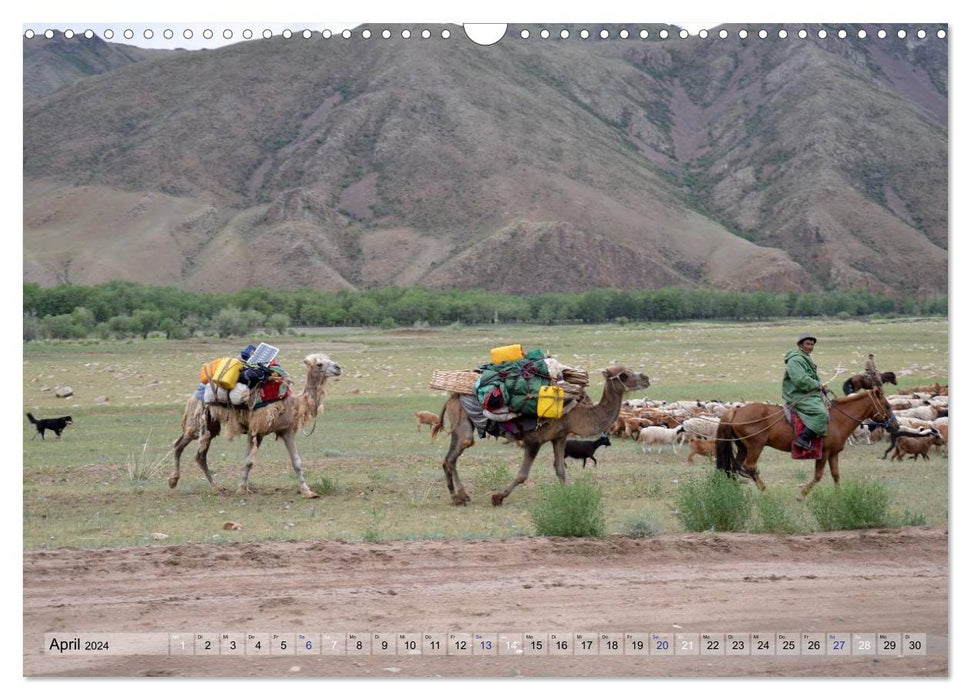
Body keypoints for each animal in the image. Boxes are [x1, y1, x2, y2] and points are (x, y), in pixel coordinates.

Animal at [170, 350, 342, 498]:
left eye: (329, 359)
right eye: (319, 364)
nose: (338, 368)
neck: (293, 403)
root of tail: (196, 393)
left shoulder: (286, 430)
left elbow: (296, 462)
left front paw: (308, 491)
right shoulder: (257, 430)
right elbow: (249, 461)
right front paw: (242, 489)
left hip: (211, 427)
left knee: (200, 455)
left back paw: (217, 486)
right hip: (197, 421)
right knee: (179, 446)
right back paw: (173, 481)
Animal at [440, 364, 652, 506]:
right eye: (623, 375)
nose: (646, 378)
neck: (573, 414)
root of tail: (453, 395)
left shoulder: (559, 437)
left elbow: (560, 470)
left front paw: (568, 496)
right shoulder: (535, 440)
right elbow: (522, 475)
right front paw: (498, 497)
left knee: (449, 458)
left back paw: (460, 496)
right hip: (462, 418)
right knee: (455, 454)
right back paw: (457, 497)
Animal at [716, 388, 900, 498]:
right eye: (887, 406)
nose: (896, 426)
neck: (837, 419)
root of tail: (735, 411)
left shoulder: (833, 453)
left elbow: (836, 475)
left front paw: (839, 496)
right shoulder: (823, 453)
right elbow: (818, 476)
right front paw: (801, 495)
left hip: (742, 447)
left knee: (733, 467)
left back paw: (733, 491)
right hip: (755, 447)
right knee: (750, 467)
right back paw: (765, 491)